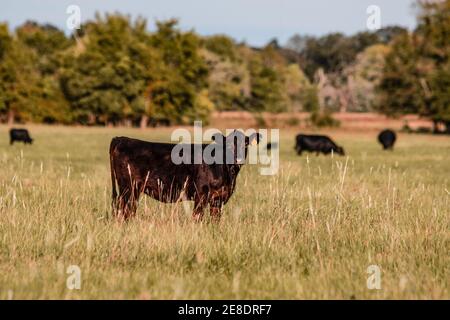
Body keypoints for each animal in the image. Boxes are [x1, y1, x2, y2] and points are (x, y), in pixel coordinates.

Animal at [109, 129, 262, 221]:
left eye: (246, 144)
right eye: (228, 144)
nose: (238, 159)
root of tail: (122, 138)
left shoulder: (219, 199)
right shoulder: (201, 194)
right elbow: (197, 217)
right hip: (128, 188)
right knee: (124, 211)